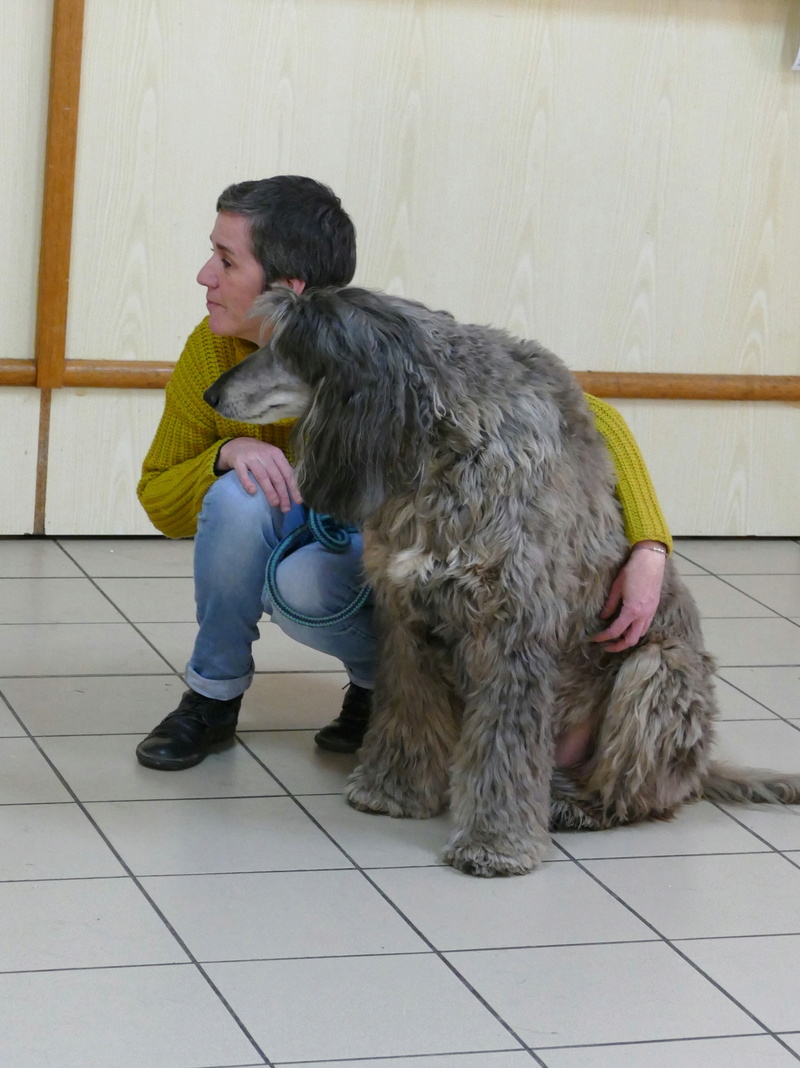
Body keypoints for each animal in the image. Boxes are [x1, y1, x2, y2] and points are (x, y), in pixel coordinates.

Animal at [204, 286, 798, 875]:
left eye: (286, 346)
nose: (211, 393)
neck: (443, 448)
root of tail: (698, 769)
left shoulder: (514, 628)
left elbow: (504, 746)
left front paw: (495, 843)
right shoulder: (406, 617)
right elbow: (407, 708)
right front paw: (396, 789)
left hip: (656, 670)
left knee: (637, 794)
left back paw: (578, 806)